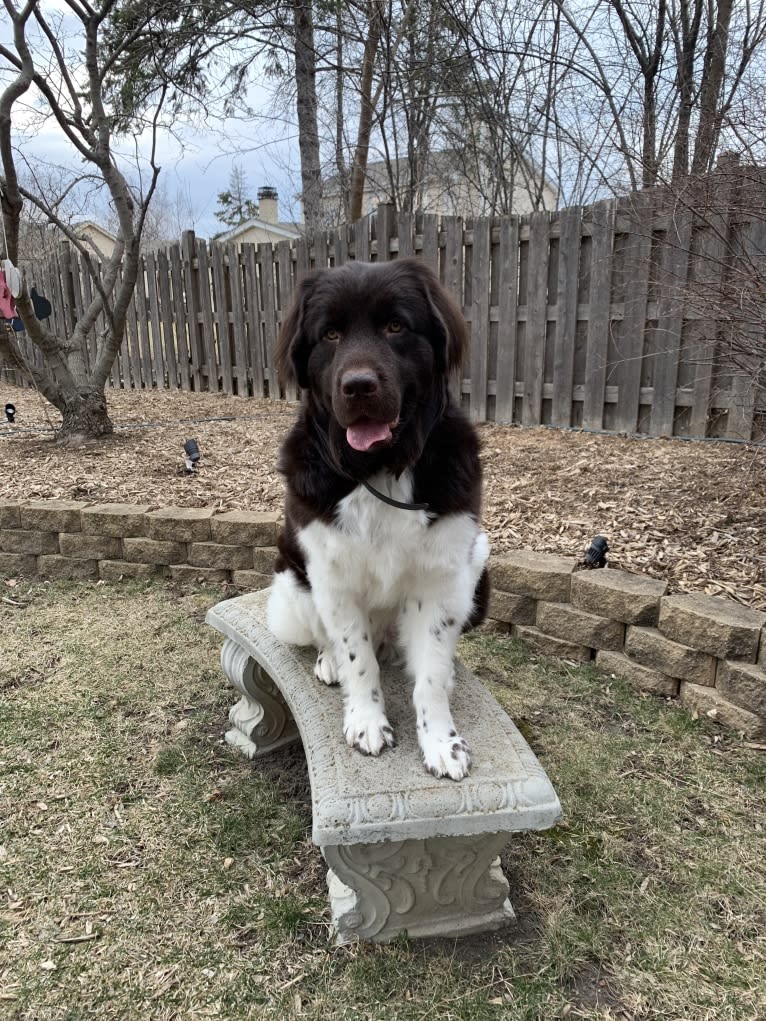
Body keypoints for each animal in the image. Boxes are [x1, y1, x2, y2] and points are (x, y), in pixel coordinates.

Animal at [267, 257, 488, 780]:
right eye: (330, 334)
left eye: (395, 327)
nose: (358, 386)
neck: (380, 469)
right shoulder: (332, 575)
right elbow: (356, 655)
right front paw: (366, 721)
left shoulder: (442, 578)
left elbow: (430, 673)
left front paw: (441, 742)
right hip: (292, 582)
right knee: (327, 636)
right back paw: (328, 662)